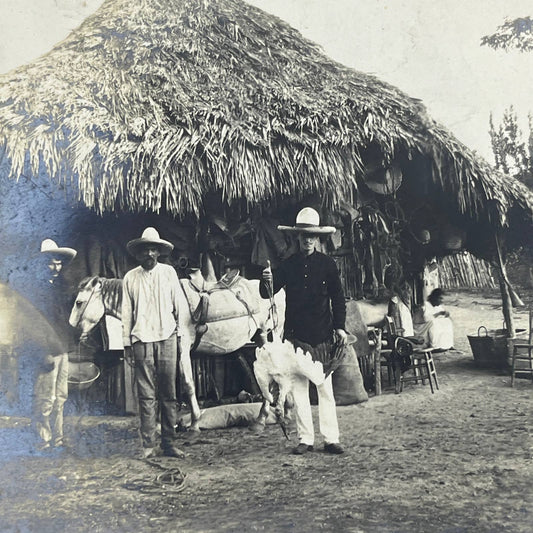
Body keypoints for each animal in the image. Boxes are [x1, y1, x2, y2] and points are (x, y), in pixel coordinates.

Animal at [70, 272, 286, 430]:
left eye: (79, 302)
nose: (72, 329)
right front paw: (163, 424)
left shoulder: (182, 350)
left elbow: (187, 384)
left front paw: (195, 422)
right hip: (260, 339)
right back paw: (262, 418)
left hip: (269, 334)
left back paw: (265, 417)